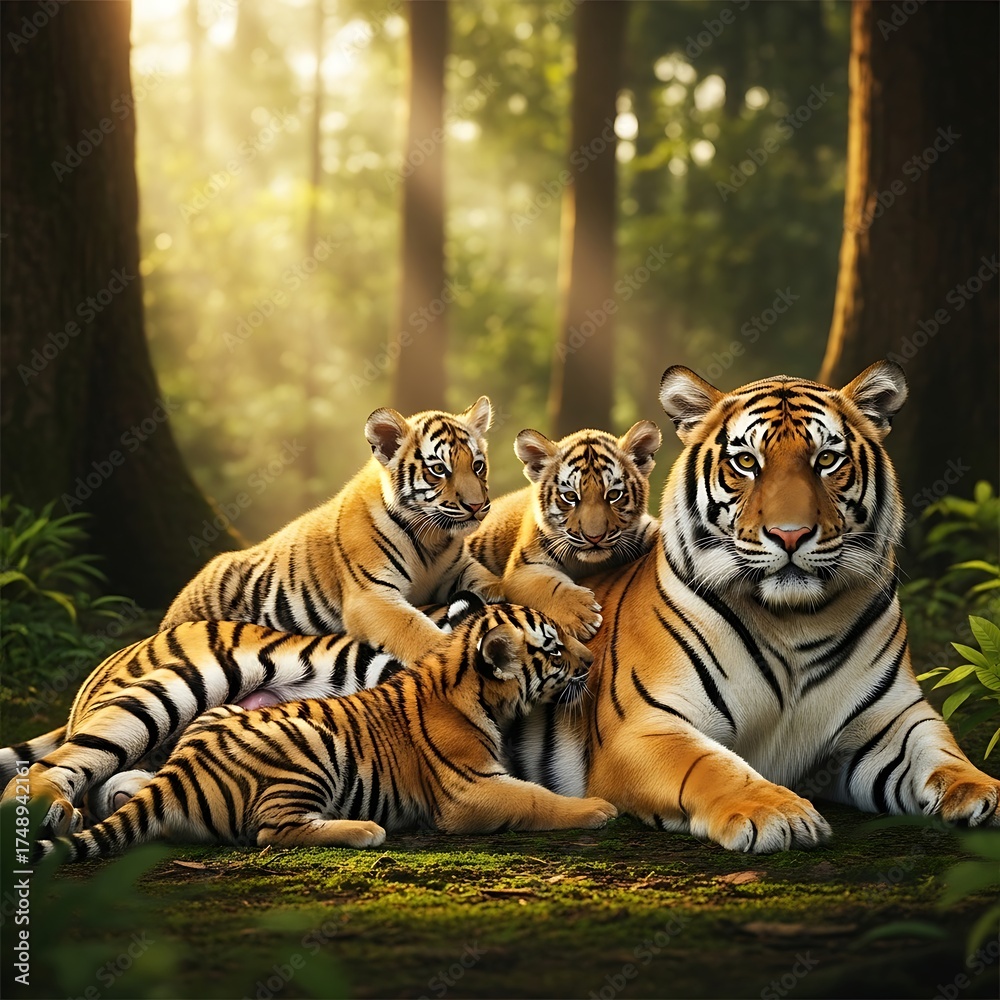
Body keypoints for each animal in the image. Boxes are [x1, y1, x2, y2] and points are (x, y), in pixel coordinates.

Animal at [32, 594, 617, 862]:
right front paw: (598, 809)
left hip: (216, 715)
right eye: (556, 650)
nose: (592, 662)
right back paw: (363, 829)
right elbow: (535, 798)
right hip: (284, 734)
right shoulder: (469, 791)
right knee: (270, 830)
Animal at [160, 398, 505, 665]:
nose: (476, 505)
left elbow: (496, 584)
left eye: (477, 465)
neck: (432, 538)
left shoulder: (461, 570)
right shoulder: (371, 596)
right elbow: (415, 630)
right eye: (438, 470)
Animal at [466, 422, 662, 640]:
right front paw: (581, 615)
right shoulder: (522, 569)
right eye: (570, 496)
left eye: (613, 495)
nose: (594, 537)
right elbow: (547, 586)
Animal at [505, 361, 1000, 850]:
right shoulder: (646, 725)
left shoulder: (894, 718)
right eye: (746, 462)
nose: (790, 534)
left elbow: (940, 752)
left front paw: (983, 791)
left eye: (826, 459)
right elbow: (712, 766)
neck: (796, 619)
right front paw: (777, 812)